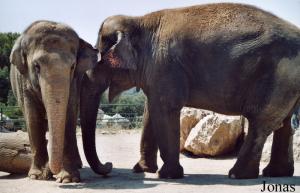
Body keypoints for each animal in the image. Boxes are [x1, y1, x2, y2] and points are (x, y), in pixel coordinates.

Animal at [10, 20, 112, 183]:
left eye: (72, 66)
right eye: (36, 66)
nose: (109, 163)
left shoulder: (74, 81)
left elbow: (68, 114)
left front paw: (67, 178)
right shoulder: (23, 81)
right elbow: (33, 118)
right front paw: (37, 176)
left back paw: (77, 165)